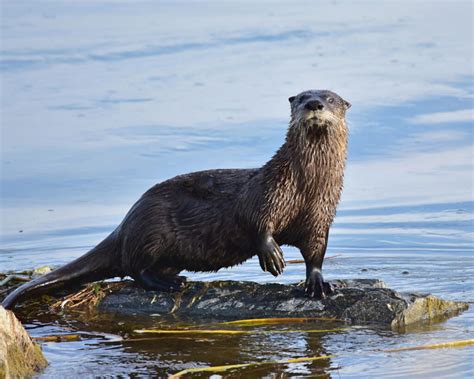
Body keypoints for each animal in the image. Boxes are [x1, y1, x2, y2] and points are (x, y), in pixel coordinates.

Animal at [1, 90, 350, 310]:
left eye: (330, 98)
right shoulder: (268, 192)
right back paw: (168, 283)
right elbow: (256, 222)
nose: (314, 103)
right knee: (134, 269)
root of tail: (125, 223)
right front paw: (273, 255)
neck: (305, 187)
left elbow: (316, 251)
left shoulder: (320, 214)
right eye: (301, 97)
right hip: (152, 230)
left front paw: (319, 283)